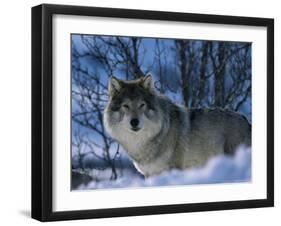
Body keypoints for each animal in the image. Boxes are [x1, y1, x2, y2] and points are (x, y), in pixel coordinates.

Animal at [102, 75, 249, 177]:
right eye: (125, 106)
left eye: (142, 105)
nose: (134, 122)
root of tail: (246, 120)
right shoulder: (149, 174)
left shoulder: (172, 170)